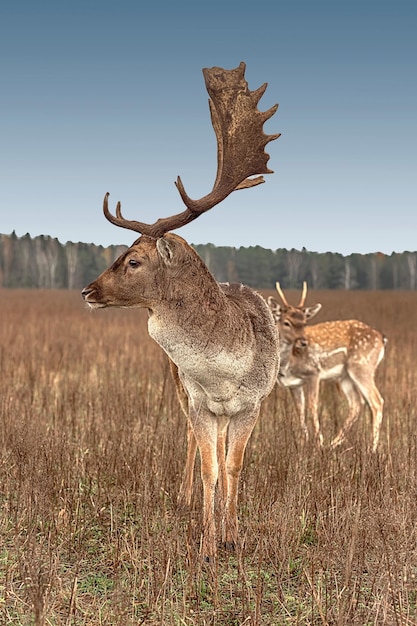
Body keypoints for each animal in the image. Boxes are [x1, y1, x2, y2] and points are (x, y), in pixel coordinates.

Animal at [81, 62, 280, 560]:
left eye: (134, 260)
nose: (88, 291)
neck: (224, 370)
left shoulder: (253, 404)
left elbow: (234, 467)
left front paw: (233, 535)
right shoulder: (199, 400)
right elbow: (211, 468)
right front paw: (208, 542)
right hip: (179, 390)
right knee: (191, 441)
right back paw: (185, 498)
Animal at [268, 282, 386, 448]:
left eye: (305, 322)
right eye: (286, 322)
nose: (303, 342)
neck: (288, 364)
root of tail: (381, 339)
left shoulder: (314, 372)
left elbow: (312, 406)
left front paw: (318, 442)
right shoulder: (293, 384)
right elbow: (300, 410)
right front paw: (304, 442)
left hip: (362, 366)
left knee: (376, 401)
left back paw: (372, 448)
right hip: (345, 376)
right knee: (357, 403)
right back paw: (334, 443)